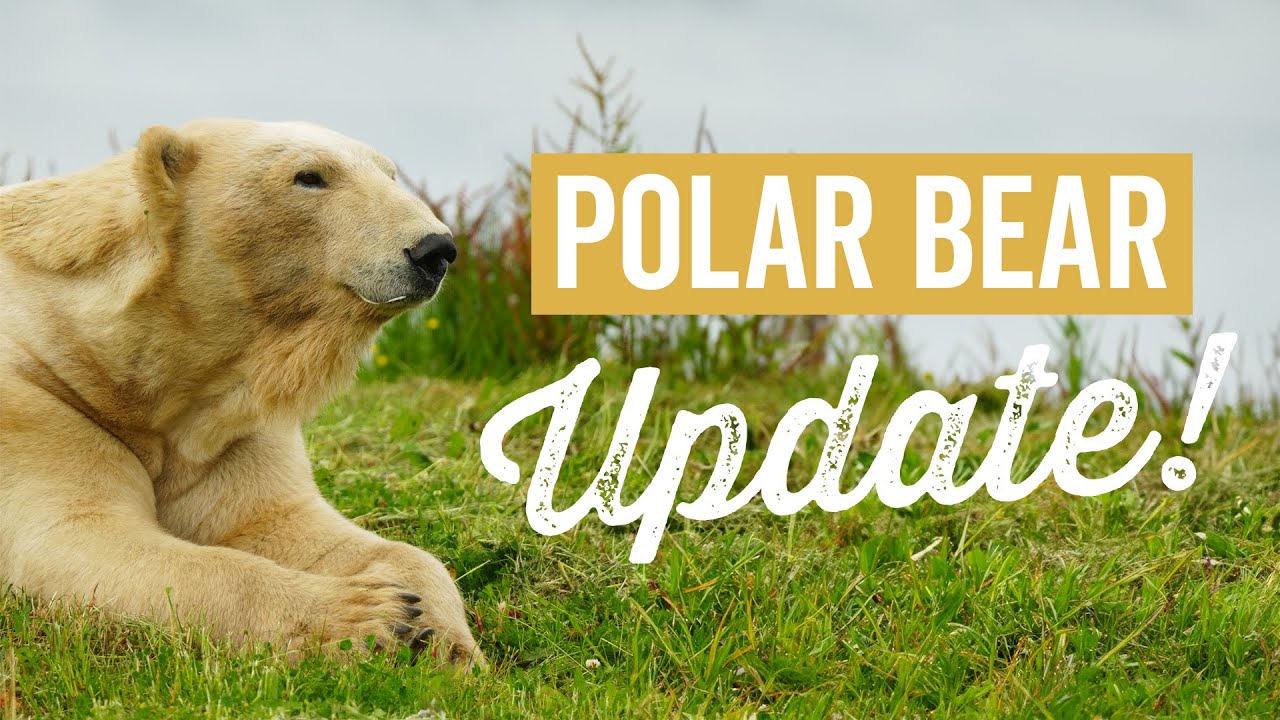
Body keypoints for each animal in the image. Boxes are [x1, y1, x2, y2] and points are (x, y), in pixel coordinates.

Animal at [0, 119, 480, 665]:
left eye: (389, 172)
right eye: (309, 176)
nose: (435, 249)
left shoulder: (229, 425)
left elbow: (284, 524)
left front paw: (444, 641)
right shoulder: (40, 403)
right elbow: (78, 536)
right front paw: (365, 616)